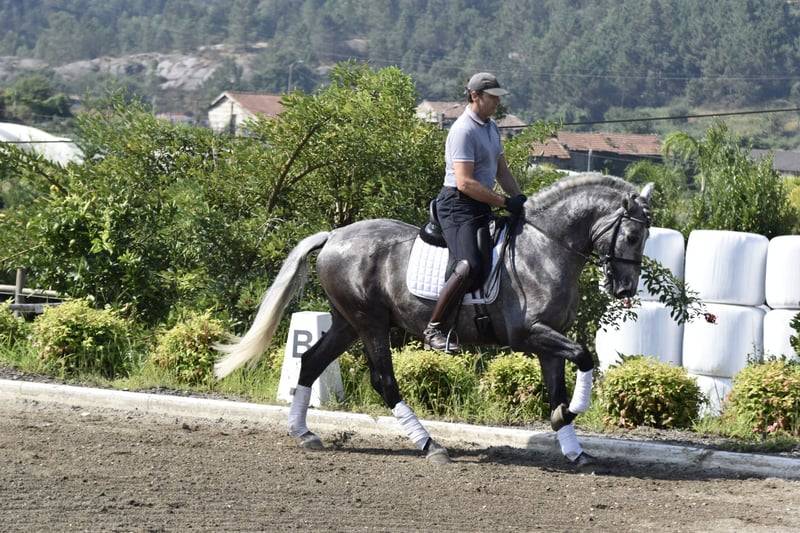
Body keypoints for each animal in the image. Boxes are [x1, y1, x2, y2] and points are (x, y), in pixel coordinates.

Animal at [214, 174, 653, 467]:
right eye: (633, 237)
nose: (624, 289)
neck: (544, 248)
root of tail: (334, 236)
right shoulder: (530, 334)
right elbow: (584, 356)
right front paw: (572, 416)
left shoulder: (550, 338)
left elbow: (560, 385)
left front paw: (573, 446)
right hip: (370, 323)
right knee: (384, 381)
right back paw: (430, 445)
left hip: (346, 322)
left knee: (311, 361)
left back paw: (304, 433)